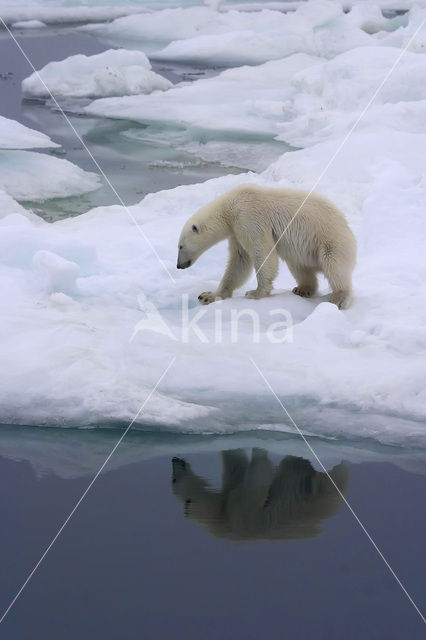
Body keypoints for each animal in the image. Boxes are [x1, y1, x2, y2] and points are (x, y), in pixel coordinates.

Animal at [176, 184, 356, 308]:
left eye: (180, 246)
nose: (179, 265)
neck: (231, 206)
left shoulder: (250, 218)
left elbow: (262, 252)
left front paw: (255, 293)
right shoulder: (236, 231)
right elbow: (239, 261)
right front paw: (208, 295)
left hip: (331, 241)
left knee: (334, 265)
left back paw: (339, 298)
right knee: (298, 266)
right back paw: (303, 289)